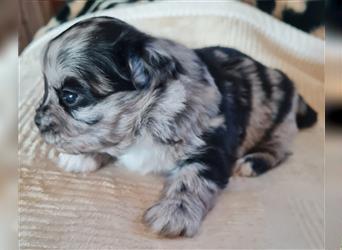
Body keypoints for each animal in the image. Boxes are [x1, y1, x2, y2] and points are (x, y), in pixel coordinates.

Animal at [35, 16, 318, 237]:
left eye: (70, 96)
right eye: (46, 88)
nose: (37, 122)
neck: (146, 121)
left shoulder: (210, 146)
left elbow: (191, 177)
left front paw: (175, 212)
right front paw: (82, 157)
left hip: (279, 122)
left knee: (279, 150)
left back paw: (253, 161)